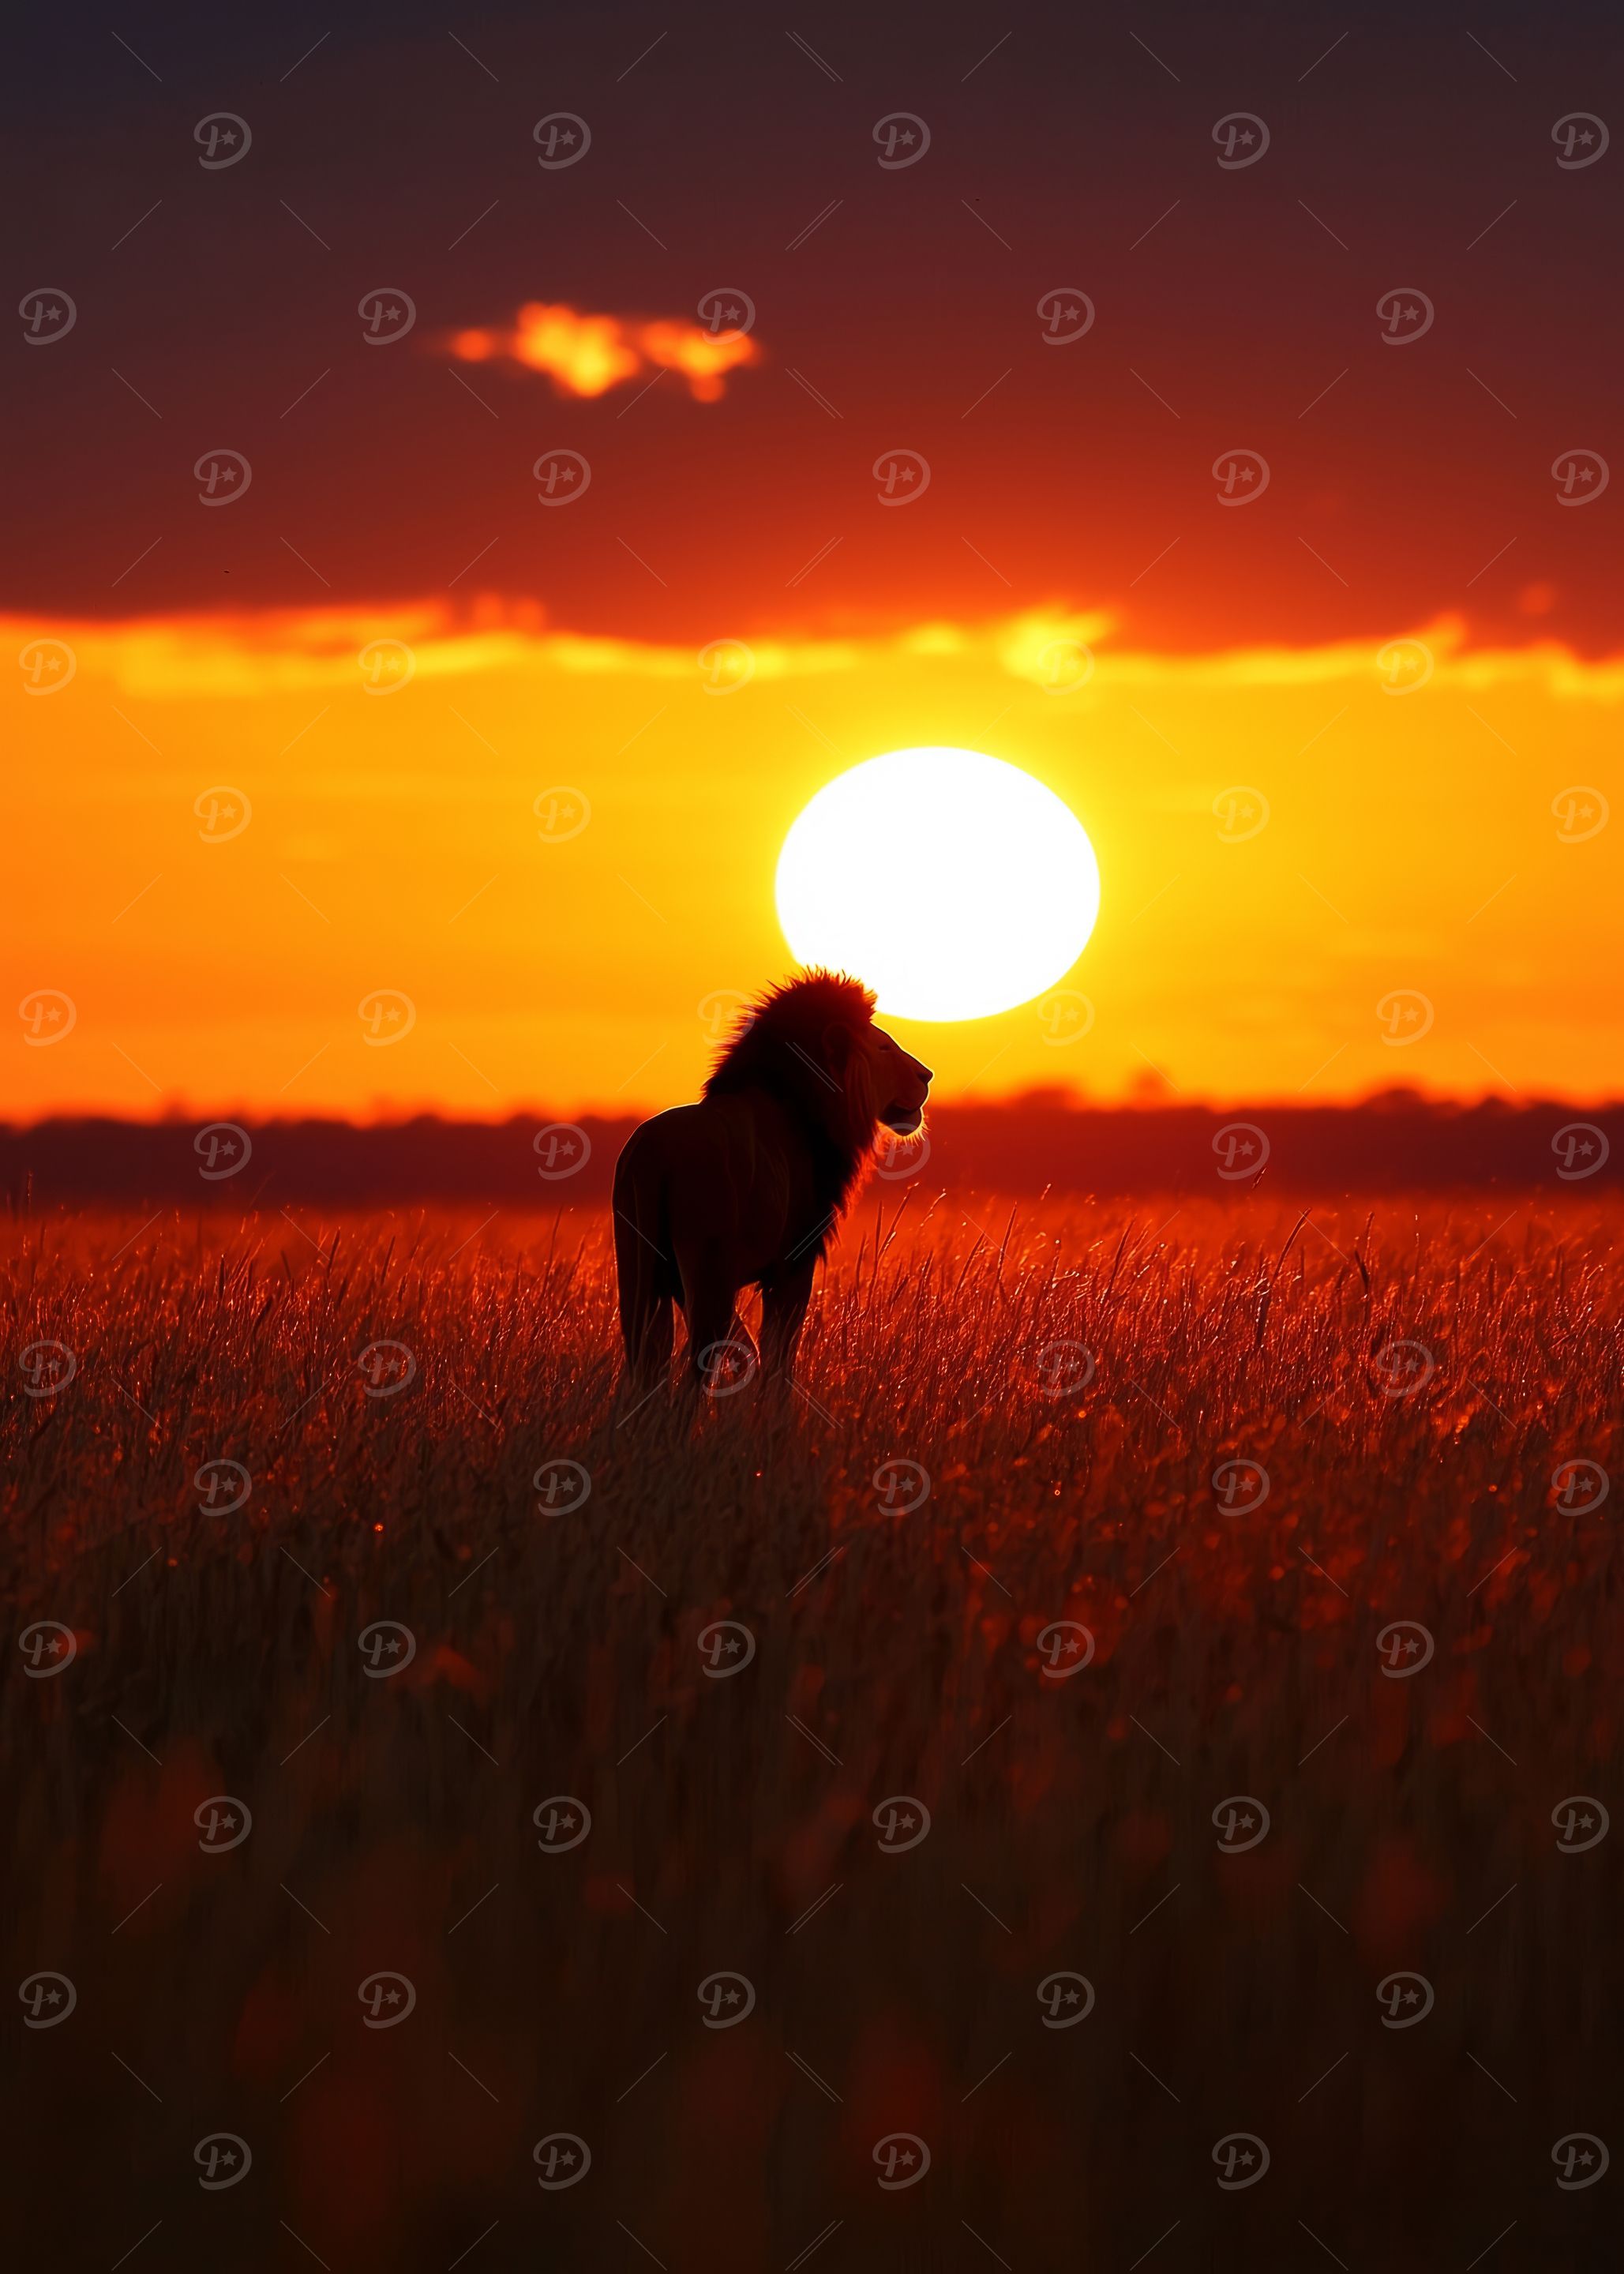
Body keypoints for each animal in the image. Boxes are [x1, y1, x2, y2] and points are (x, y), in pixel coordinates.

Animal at [612, 970, 932, 1395]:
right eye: (883, 1047)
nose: (927, 1075)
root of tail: (653, 1152)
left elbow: (747, 1345)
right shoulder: (794, 1262)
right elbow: (780, 1357)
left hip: (640, 1276)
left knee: (647, 1367)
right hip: (708, 1272)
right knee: (693, 1371)